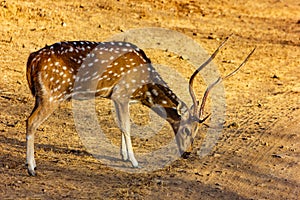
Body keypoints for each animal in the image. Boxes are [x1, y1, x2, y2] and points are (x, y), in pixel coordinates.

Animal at [26, 36, 255, 176]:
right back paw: (32, 167)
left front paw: (124, 156)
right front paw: (135, 162)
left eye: (198, 131)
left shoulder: (116, 97)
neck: (144, 89)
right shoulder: (122, 93)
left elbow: (121, 125)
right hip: (52, 95)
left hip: (41, 96)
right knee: (31, 121)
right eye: (186, 129)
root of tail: (32, 58)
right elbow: (126, 126)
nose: (188, 153)